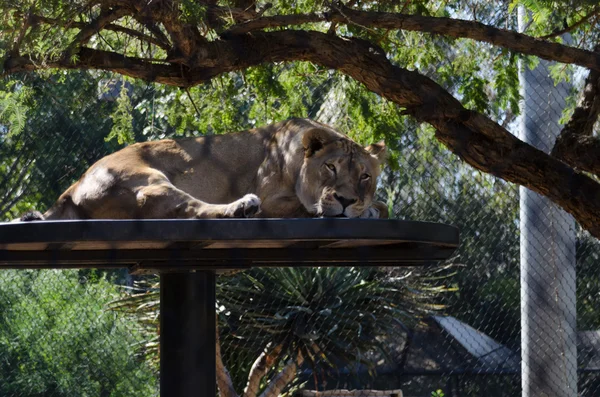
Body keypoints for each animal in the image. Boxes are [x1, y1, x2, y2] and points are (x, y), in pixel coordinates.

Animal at [21, 118, 390, 223]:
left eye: (365, 176)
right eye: (329, 167)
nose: (346, 200)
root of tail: (73, 186)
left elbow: (381, 203)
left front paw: (370, 207)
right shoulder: (275, 199)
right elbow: (306, 208)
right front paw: (365, 211)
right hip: (147, 180)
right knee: (190, 208)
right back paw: (242, 207)